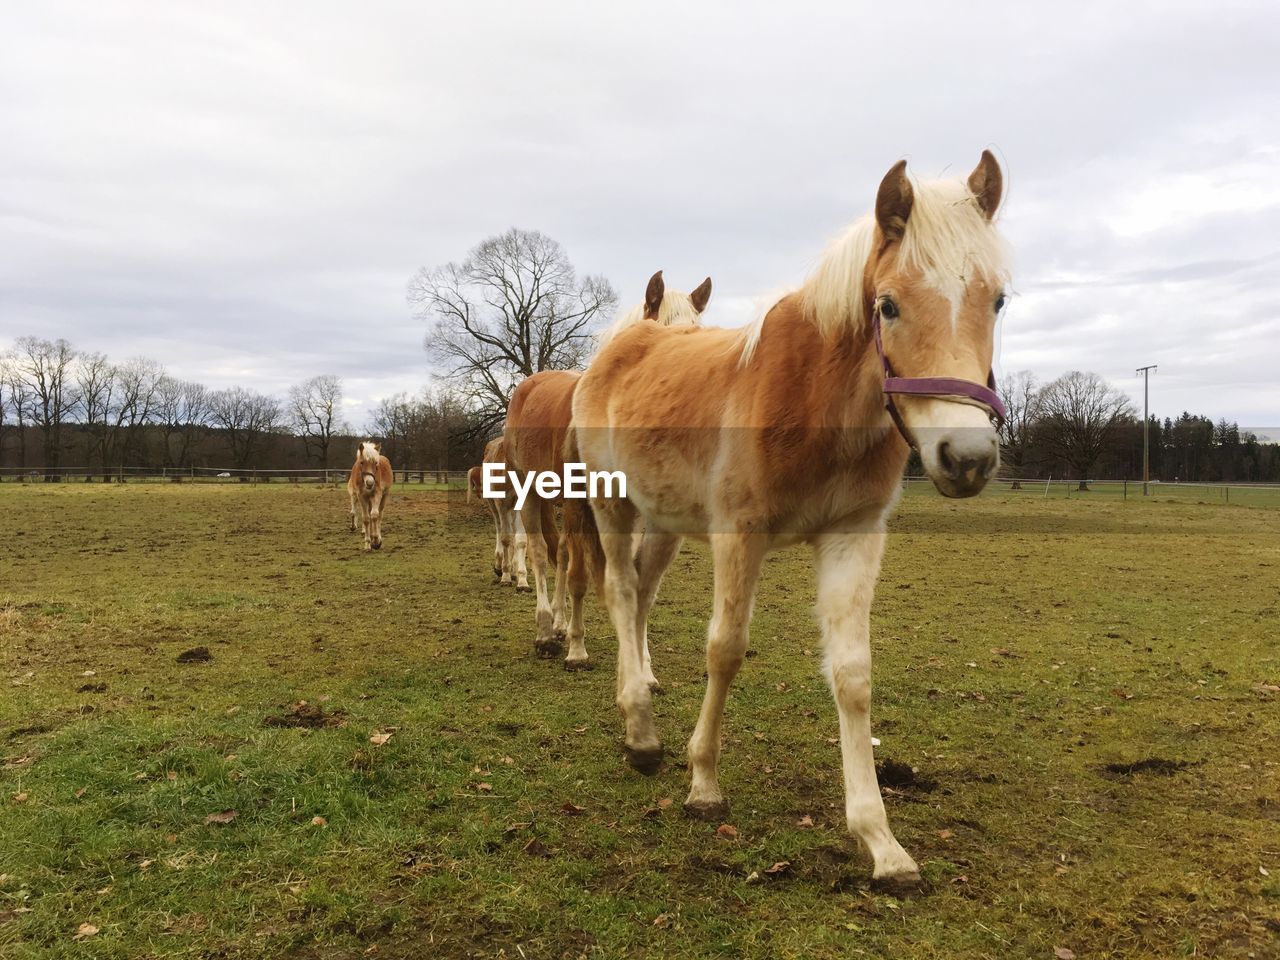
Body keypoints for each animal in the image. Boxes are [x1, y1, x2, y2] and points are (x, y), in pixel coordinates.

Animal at [468, 440, 527, 591]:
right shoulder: (502, 503)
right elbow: (505, 538)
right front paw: (505, 577)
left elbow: (521, 540)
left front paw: (522, 580)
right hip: (493, 504)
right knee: (499, 528)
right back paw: (499, 567)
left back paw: (514, 570)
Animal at [501, 272, 711, 670]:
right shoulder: (579, 506)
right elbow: (579, 576)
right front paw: (577, 652)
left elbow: (637, 582)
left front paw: (642, 664)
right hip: (531, 492)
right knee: (538, 554)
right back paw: (545, 633)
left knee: (561, 553)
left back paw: (559, 624)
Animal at [576, 152, 1013, 896]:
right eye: (888, 304)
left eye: (998, 300)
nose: (967, 457)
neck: (817, 399)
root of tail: (621, 345)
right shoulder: (739, 534)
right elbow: (725, 650)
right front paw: (703, 783)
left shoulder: (853, 537)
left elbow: (853, 675)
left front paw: (880, 841)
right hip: (615, 505)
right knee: (619, 591)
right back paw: (640, 731)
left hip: (663, 521)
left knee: (638, 596)